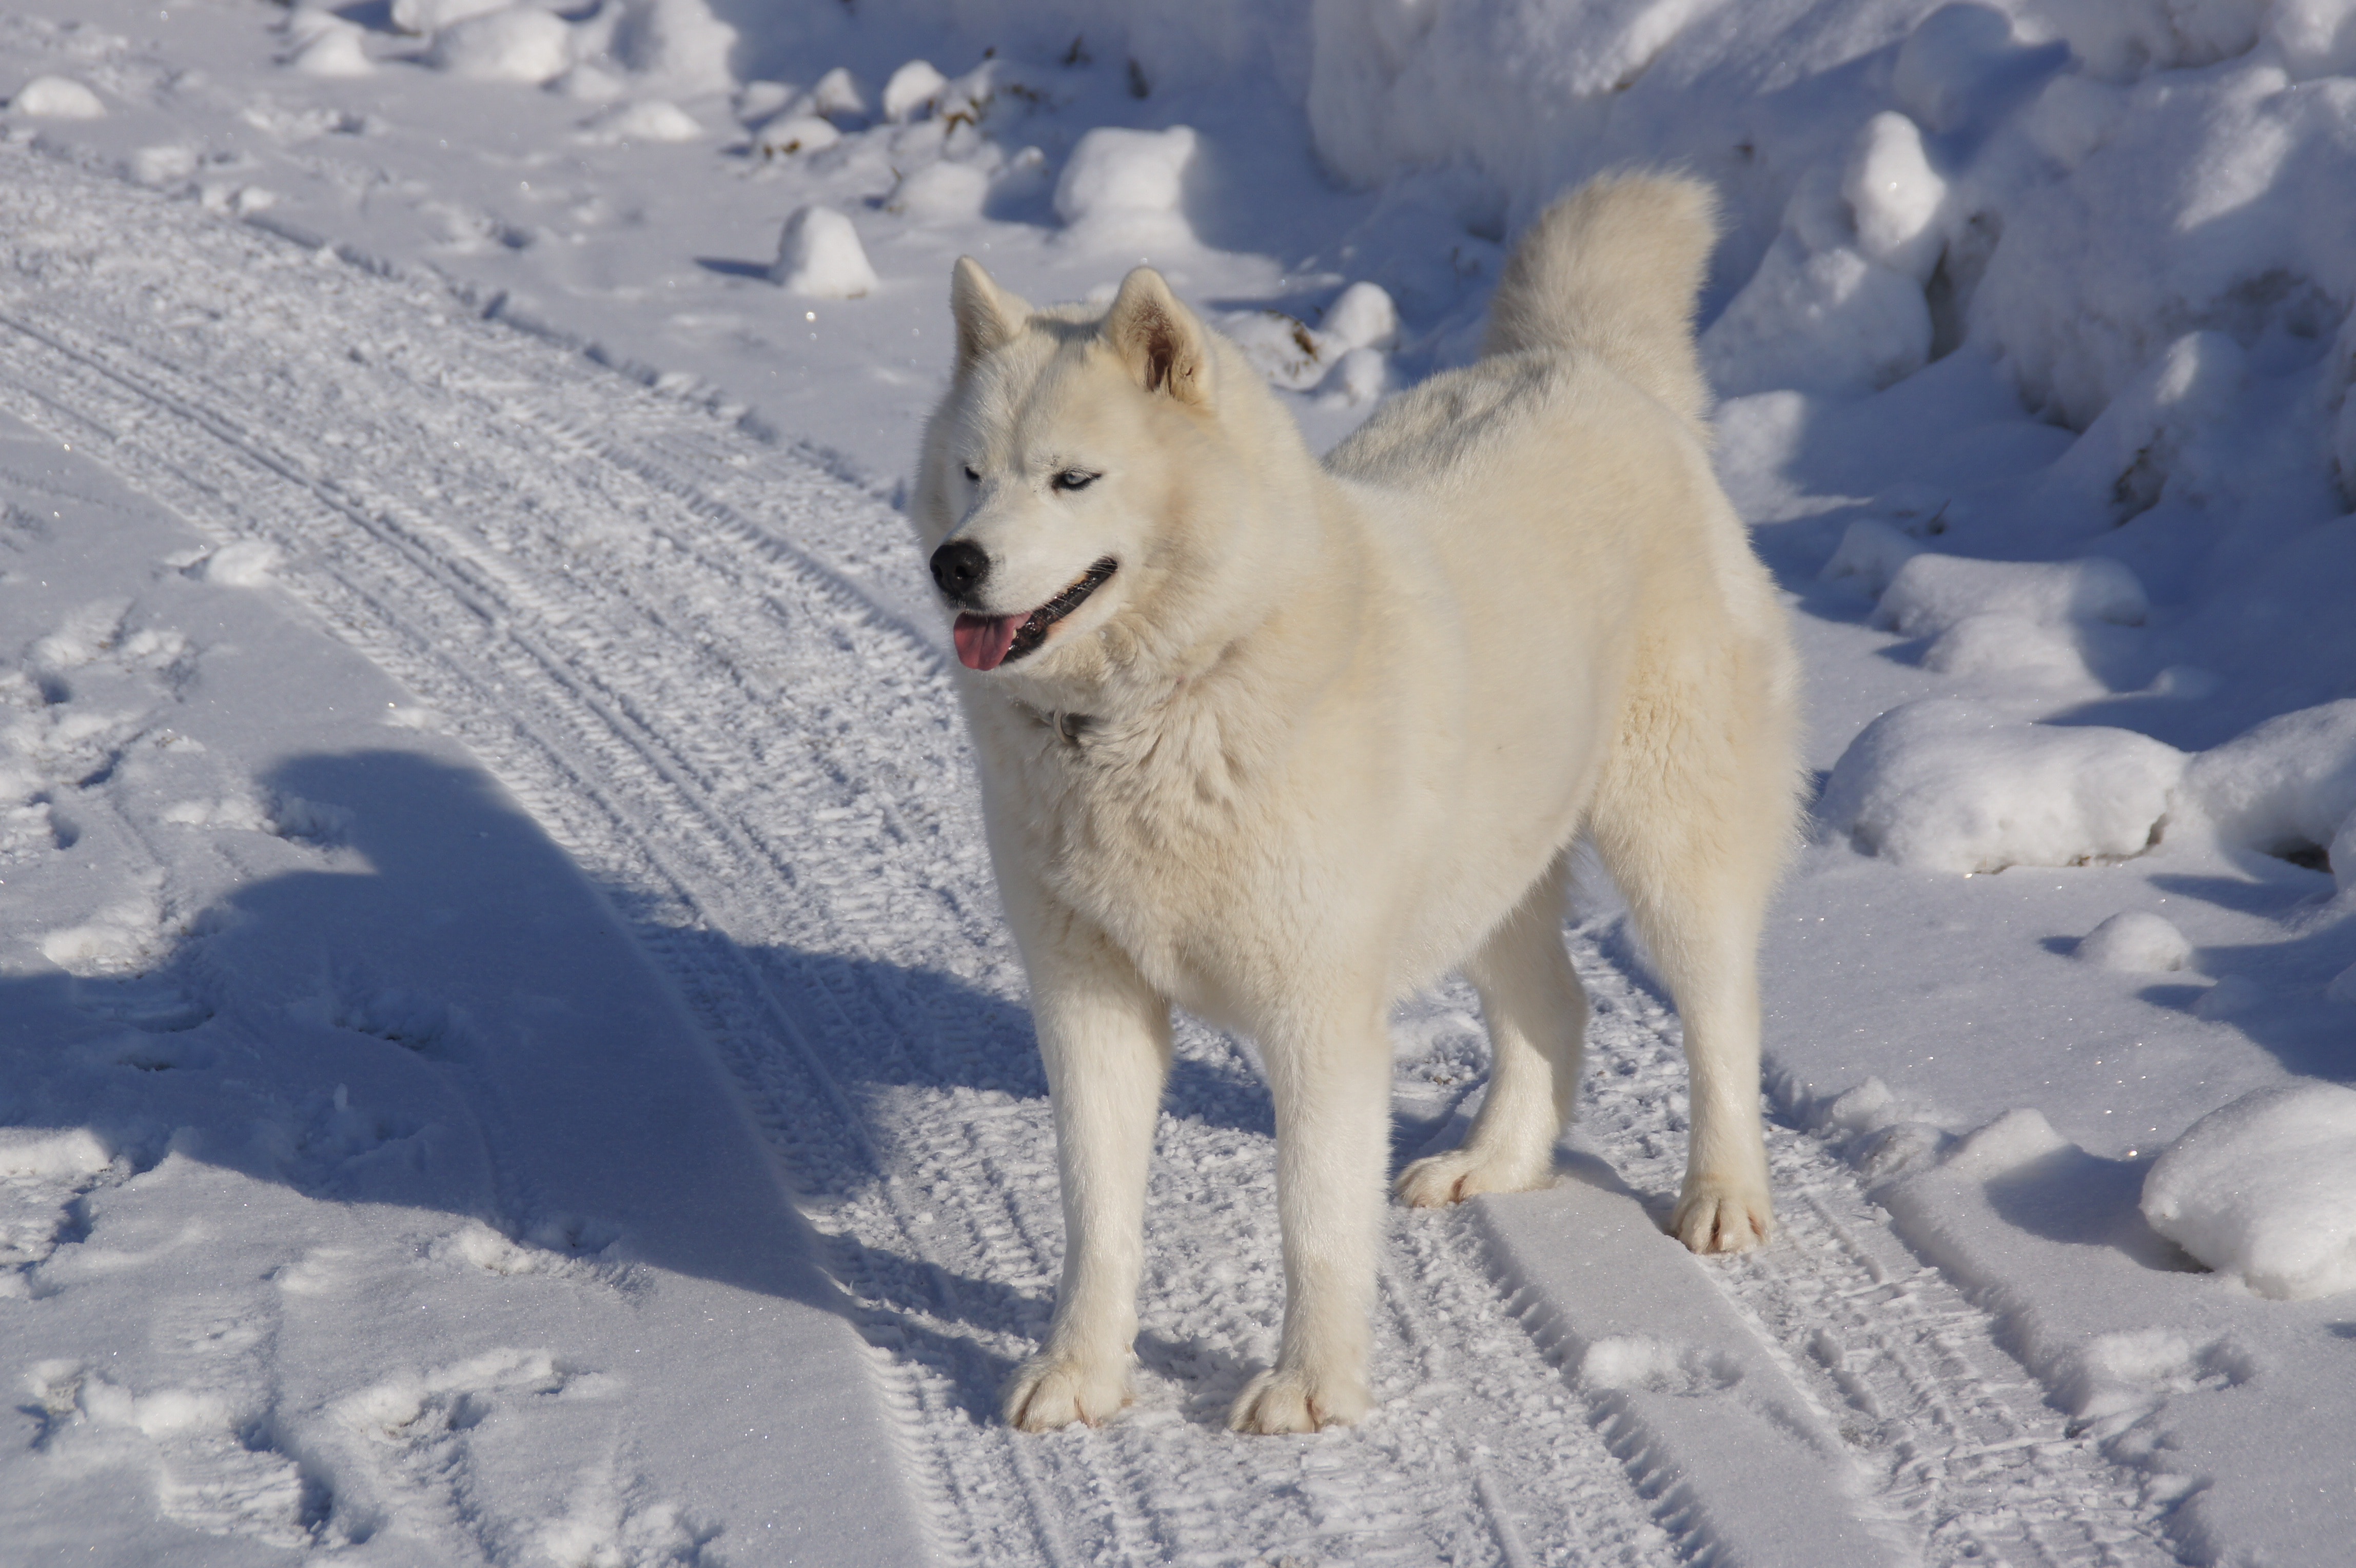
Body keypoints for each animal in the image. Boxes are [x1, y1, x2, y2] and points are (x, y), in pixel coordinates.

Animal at [909, 170, 1790, 1431]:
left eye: (1073, 478)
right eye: (973, 473)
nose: (956, 565)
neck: (1164, 706)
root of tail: (1588, 365)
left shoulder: (1318, 1016)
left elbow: (1315, 1219)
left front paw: (1309, 1388)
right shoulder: (1089, 1003)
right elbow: (1096, 1216)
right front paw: (1081, 1373)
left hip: (1671, 842)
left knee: (1721, 1020)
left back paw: (1720, 1196)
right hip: (1491, 871)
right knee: (1555, 1010)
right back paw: (1494, 1163)